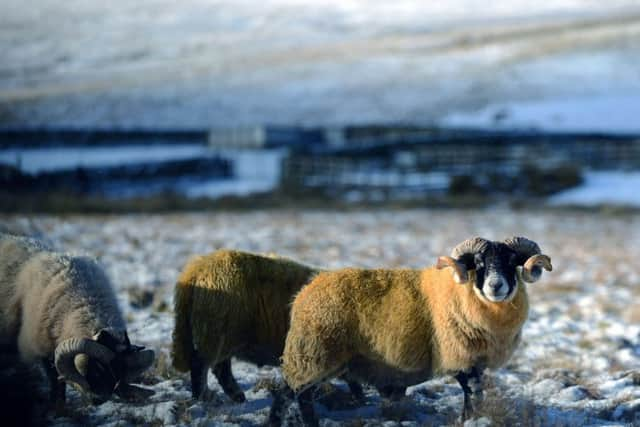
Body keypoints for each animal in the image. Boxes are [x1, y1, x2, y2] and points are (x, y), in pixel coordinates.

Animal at [0, 234, 154, 412]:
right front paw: (56, 407)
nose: (98, 400)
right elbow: (55, 379)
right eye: (97, 368)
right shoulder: (43, 347)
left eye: (118, 372)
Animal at [270, 236, 552, 426]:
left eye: (512, 262)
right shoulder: (459, 357)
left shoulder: (476, 360)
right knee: (289, 395)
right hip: (312, 353)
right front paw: (470, 420)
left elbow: (474, 395)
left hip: (319, 357)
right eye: (480, 262)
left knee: (299, 395)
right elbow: (472, 393)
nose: (495, 286)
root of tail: (304, 292)